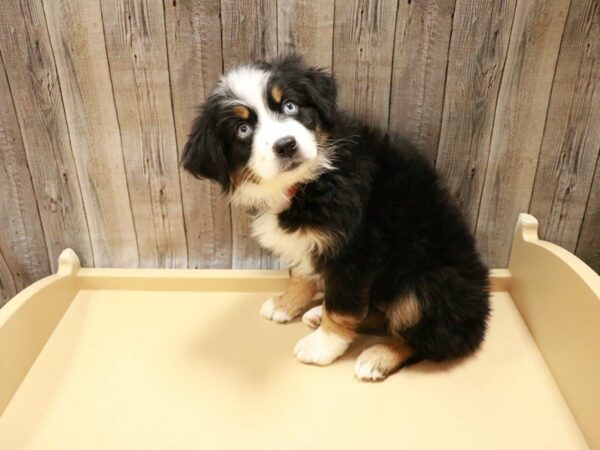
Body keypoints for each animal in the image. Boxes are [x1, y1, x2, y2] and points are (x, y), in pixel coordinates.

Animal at [180, 54, 490, 382]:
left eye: (289, 105)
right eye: (242, 129)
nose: (286, 145)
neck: (307, 182)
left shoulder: (355, 249)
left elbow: (343, 305)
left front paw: (322, 347)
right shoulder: (309, 240)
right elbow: (301, 274)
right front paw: (286, 304)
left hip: (431, 283)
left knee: (424, 337)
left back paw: (377, 357)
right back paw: (319, 314)